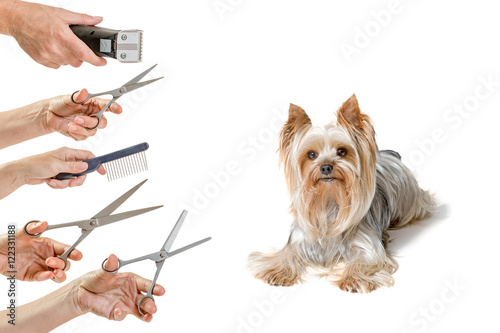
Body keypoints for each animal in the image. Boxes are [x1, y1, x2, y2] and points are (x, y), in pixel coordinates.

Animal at [248, 94, 436, 292]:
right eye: (311, 154)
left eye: (342, 151)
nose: (326, 167)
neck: (330, 199)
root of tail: (391, 155)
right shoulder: (300, 241)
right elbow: (287, 254)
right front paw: (277, 272)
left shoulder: (367, 246)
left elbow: (365, 260)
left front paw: (353, 279)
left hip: (410, 202)